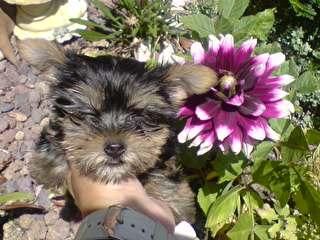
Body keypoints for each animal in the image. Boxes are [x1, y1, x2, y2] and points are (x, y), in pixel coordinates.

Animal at [19, 38, 218, 222]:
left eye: (139, 116)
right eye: (89, 114)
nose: (114, 148)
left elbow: (165, 176)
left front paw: (175, 203)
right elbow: (53, 139)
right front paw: (45, 169)